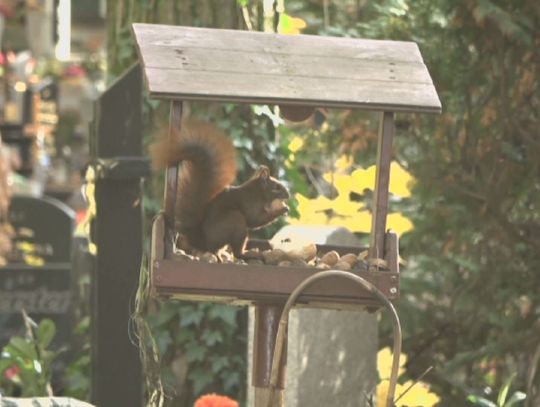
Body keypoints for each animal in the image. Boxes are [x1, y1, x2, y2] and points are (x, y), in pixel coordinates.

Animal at [150, 121, 288, 260]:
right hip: (235, 220)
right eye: (277, 187)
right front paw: (283, 209)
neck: (258, 192)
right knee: (236, 252)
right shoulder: (251, 203)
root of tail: (203, 241)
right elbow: (256, 219)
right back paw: (248, 254)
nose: (288, 195)